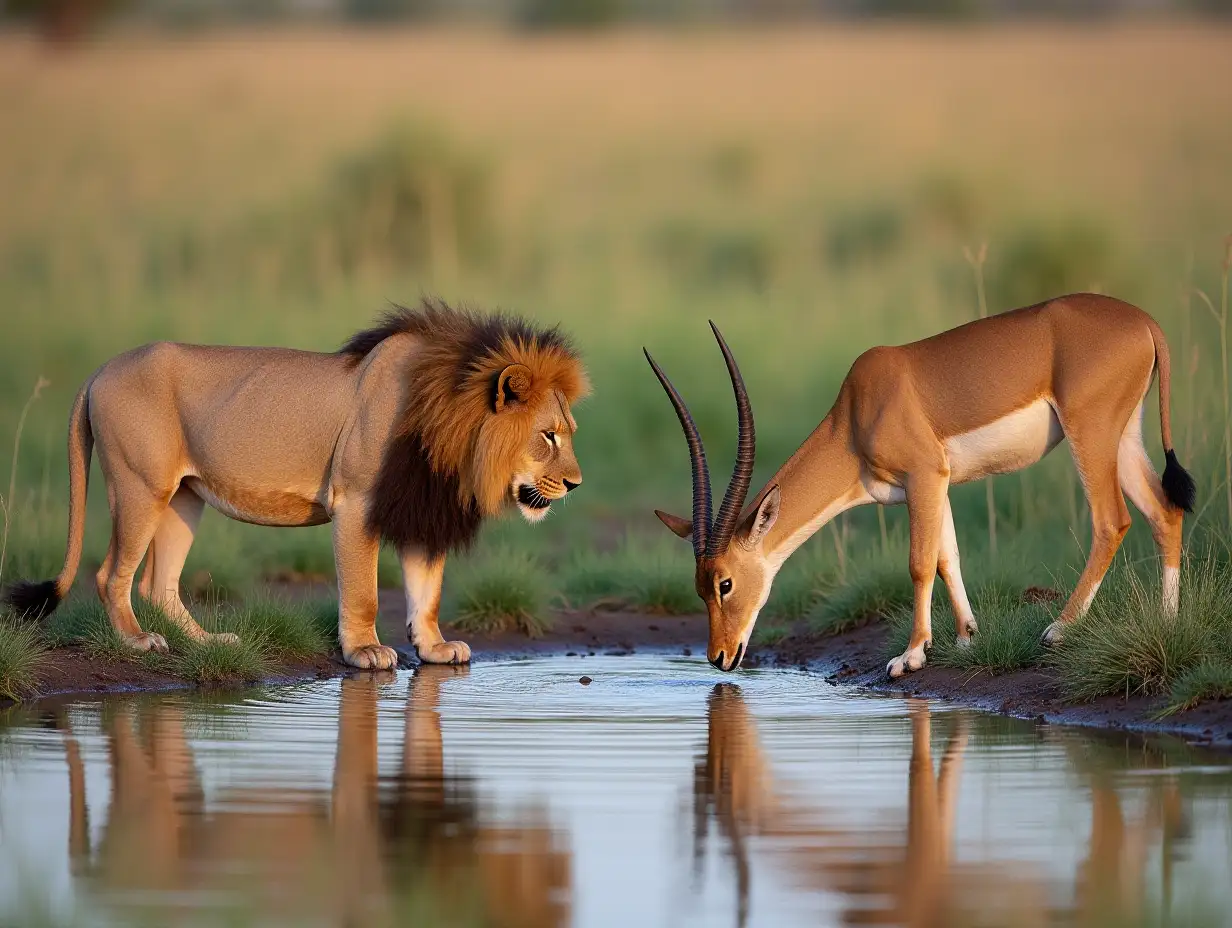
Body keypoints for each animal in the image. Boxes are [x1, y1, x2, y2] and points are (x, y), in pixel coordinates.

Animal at [1, 300, 586, 670]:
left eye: (569, 432)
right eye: (548, 436)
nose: (576, 484)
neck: (450, 429)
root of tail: (100, 369)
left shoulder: (421, 505)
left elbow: (427, 592)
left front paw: (436, 649)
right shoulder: (358, 501)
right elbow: (365, 592)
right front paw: (365, 652)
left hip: (183, 498)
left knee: (157, 584)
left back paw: (208, 643)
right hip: (139, 486)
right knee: (110, 576)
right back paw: (138, 641)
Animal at [645, 293, 1192, 675]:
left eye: (725, 583)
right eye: (700, 587)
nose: (719, 656)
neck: (856, 413)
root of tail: (1144, 322)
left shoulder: (923, 475)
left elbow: (919, 563)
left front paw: (909, 657)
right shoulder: (936, 483)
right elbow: (947, 556)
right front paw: (968, 637)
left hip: (1090, 436)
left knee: (1112, 520)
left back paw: (1058, 629)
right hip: (1124, 439)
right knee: (1164, 510)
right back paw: (1168, 623)